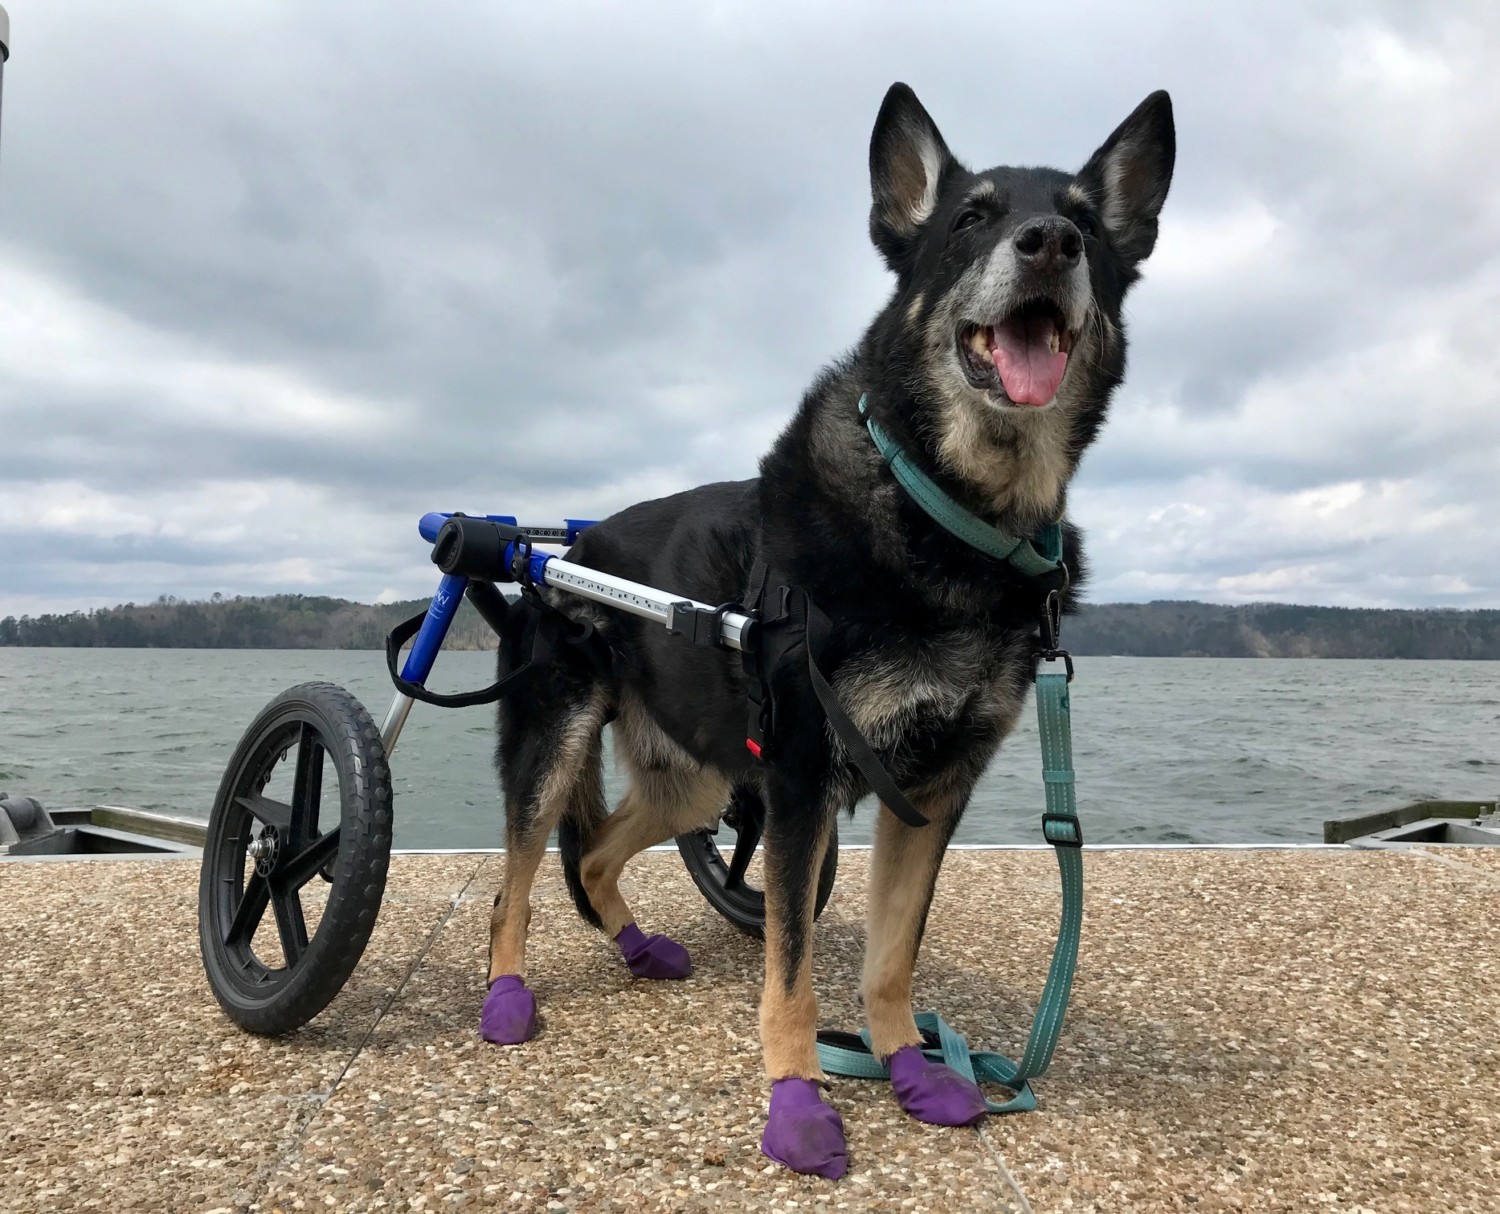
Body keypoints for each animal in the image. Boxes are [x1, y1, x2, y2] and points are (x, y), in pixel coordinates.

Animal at [477, 82, 1170, 1176]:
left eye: (1089, 227)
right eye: (970, 217)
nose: (1050, 242)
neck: (945, 514)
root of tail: (559, 546)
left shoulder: (931, 789)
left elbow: (891, 955)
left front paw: (907, 1066)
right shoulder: (802, 778)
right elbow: (794, 968)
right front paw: (798, 1099)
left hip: (696, 779)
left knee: (589, 860)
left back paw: (636, 948)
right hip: (556, 741)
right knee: (516, 884)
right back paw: (506, 996)